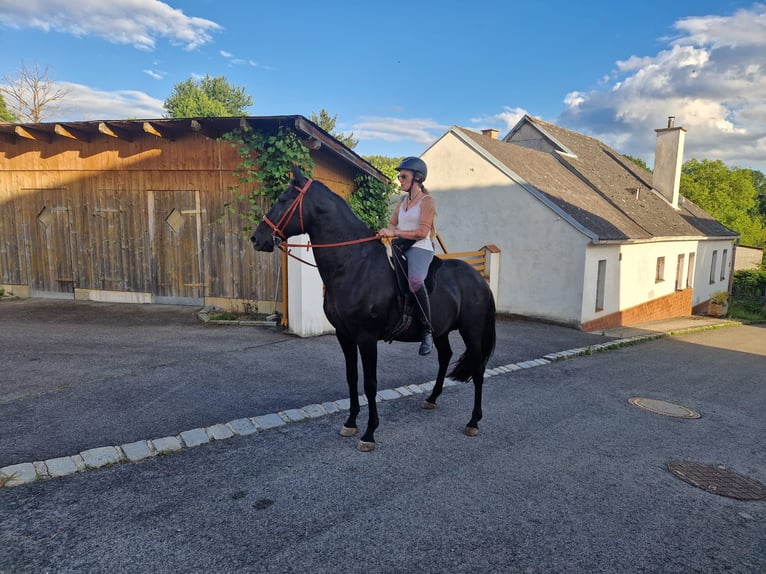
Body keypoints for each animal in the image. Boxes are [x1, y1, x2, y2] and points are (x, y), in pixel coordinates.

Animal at [249, 164, 496, 452]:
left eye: (282, 200)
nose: (256, 238)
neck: (353, 265)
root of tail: (477, 277)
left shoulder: (366, 338)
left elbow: (370, 384)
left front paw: (369, 433)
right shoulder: (345, 336)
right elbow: (352, 379)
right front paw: (350, 423)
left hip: (472, 332)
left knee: (478, 370)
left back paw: (474, 421)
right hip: (441, 331)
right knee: (445, 356)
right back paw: (432, 398)